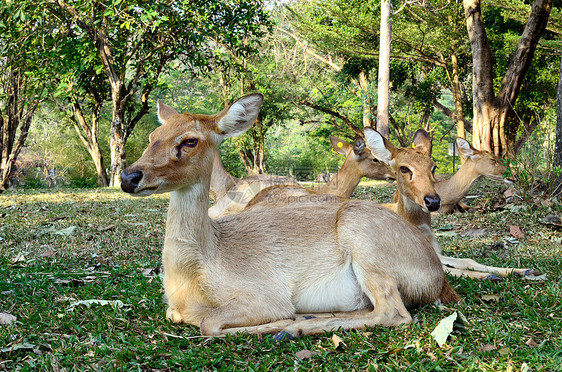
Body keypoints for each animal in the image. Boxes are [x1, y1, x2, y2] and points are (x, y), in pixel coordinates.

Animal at [120, 93, 458, 338]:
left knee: (394, 313)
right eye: (152, 135)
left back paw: (296, 326)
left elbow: (209, 324)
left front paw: (280, 323)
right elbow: (184, 318)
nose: (128, 176)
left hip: (367, 247)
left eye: (190, 140)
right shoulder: (176, 309)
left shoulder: (263, 293)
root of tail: (438, 279)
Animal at [360, 129, 540, 280]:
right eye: (404, 168)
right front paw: (489, 276)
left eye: (433, 167)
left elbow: (467, 261)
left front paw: (522, 270)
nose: (433, 201)